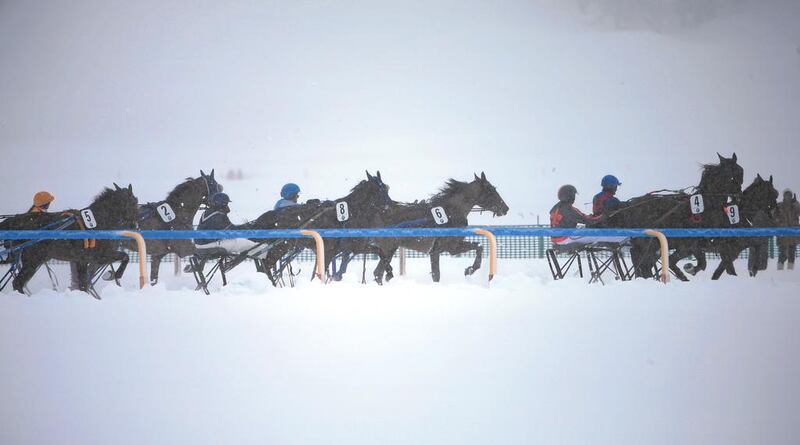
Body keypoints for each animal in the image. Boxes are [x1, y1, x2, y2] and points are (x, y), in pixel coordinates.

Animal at [0, 182, 139, 296]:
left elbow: (83, 284)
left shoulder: (81, 260)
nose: (135, 226)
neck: (97, 222)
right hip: (33, 260)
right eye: (134, 202)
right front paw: (113, 275)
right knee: (18, 282)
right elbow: (125, 257)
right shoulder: (100, 255)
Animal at [245, 170, 392, 284]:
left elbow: (381, 252)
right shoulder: (336, 250)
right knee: (266, 265)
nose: (390, 204)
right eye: (382, 189)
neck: (350, 216)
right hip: (279, 247)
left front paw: (384, 274)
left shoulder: (353, 247)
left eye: (386, 188)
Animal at [372, 172, 510, 282]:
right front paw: (469, 270)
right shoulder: (439, 250)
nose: (505, 208)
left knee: (378, 273)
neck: (450, 213)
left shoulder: (453, 247)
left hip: (390, 248)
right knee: (378, 273)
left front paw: (469, 269)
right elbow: (436, 275)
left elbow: (479, 247)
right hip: (388, 248)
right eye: (491, 190)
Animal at [604, 153, 748, 278]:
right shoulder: (688, 246)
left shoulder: (695, 246)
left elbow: (701, 263)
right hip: (647, 243)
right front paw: (687, 271)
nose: (740, 196)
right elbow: (688, 262)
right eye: (738, 172)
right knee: (642, 261)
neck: (703, 209)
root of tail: (628, 207)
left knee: (642, 261)